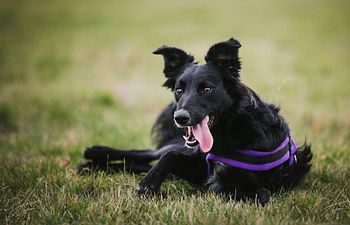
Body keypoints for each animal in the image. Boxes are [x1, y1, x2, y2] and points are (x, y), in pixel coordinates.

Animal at [78, 38, 314, 204]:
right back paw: (93, 154)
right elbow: (169, 157)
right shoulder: (195, 162)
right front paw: (149, 184)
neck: (234, 128)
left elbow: (260, 192)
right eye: (178, 90)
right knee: (149, 154)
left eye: (207, 89)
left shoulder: (208, 175)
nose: (180, 118)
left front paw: (148, 183)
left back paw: (90, 165)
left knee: (144, 160)